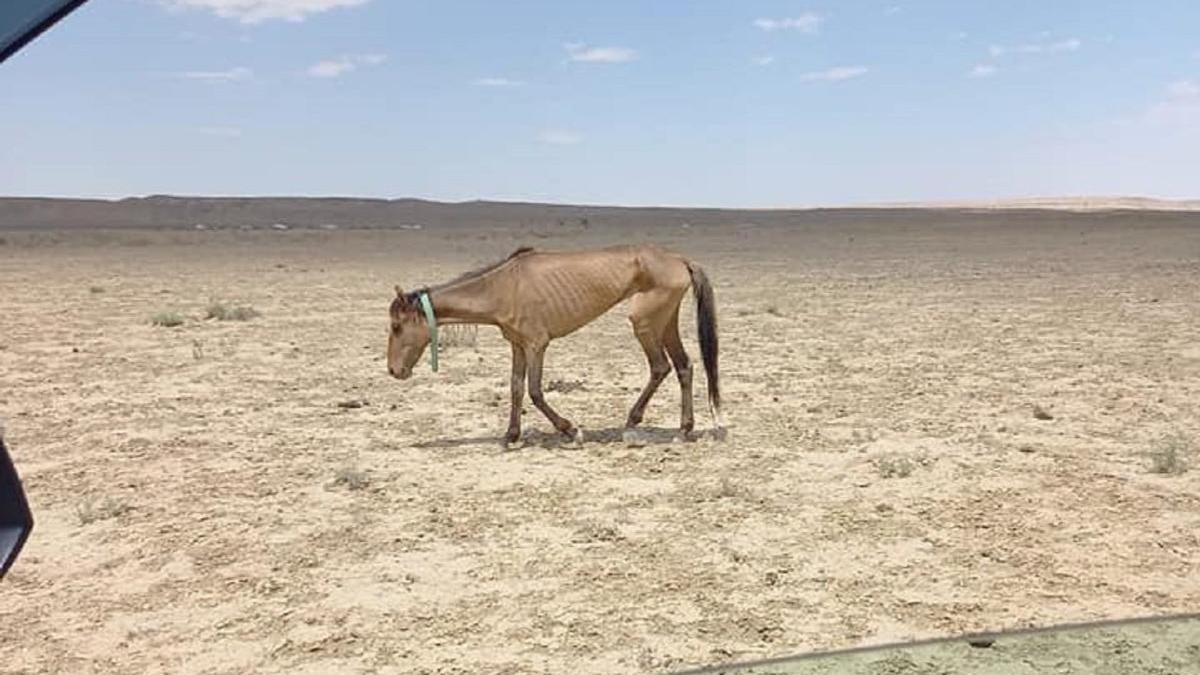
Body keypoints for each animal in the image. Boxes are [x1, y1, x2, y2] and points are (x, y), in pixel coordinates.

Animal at [386, 242, 720, 446]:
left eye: (396, 326)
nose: (393, 370)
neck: (502, 287)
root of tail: (680, 260)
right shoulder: (518, 346)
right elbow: (516, 388)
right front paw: (511, 435)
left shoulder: (537, 345)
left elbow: (534, 391)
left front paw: (571, 429)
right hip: (665, 322)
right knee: (683, 366)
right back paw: (683, 428)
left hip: (645, 322)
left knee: (661, 366)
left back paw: (637, 421)